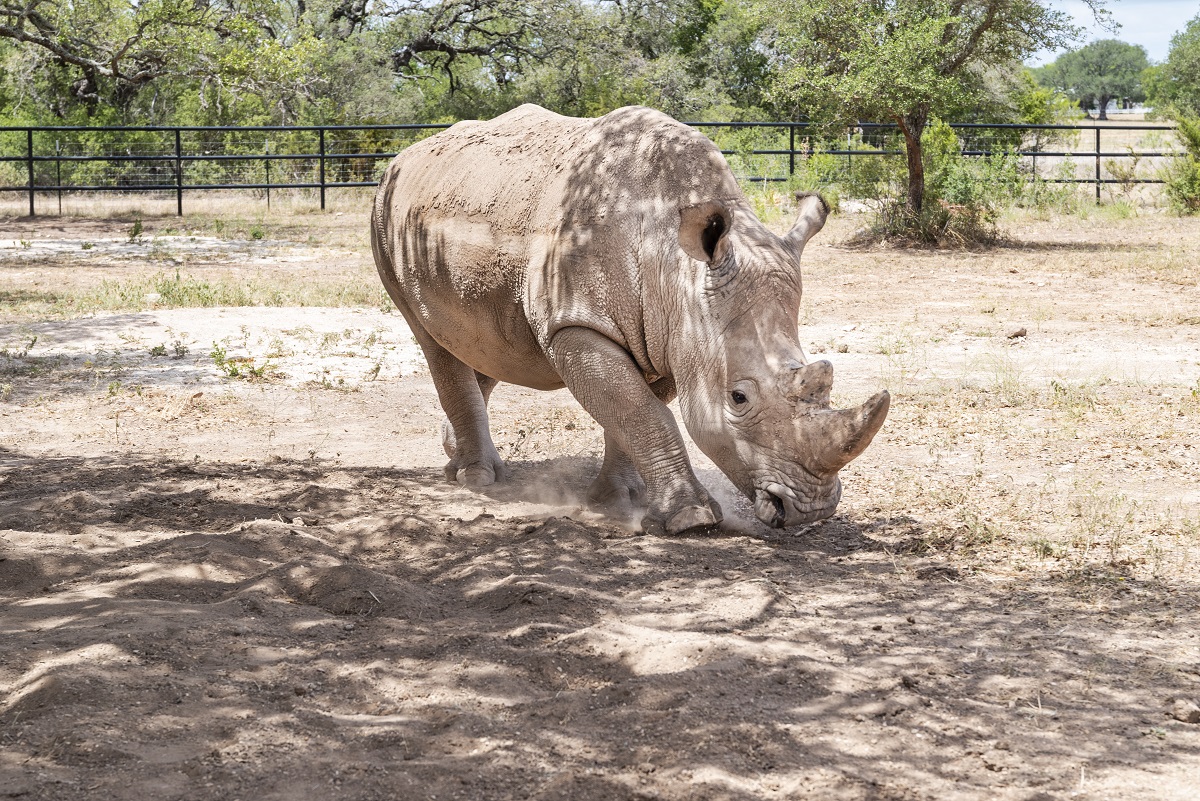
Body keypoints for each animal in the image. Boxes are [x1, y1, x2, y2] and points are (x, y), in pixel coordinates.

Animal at [369, 104, 888, 532]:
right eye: (738, 398)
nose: (810, 511)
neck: (678, 270)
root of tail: (403, 157)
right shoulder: (577, 325)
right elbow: (643, 411)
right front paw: (690, 519)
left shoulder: (672, 335)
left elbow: (635, 411)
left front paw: (621, 498)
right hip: (383, 216)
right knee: (432, 340)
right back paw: (478, 479)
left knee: (481, 344)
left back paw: (455, 460)